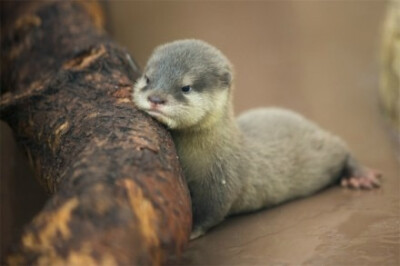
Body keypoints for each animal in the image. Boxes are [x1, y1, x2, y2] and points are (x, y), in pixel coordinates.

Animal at [132, 38, 382, 239]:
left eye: (186, 87)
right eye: (147, 78)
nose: (156, 98)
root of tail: (310, 124)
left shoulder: (223, 181)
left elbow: (211, 211)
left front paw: (192, 231)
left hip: (324, 150)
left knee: (342, 147)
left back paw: (360, 176)